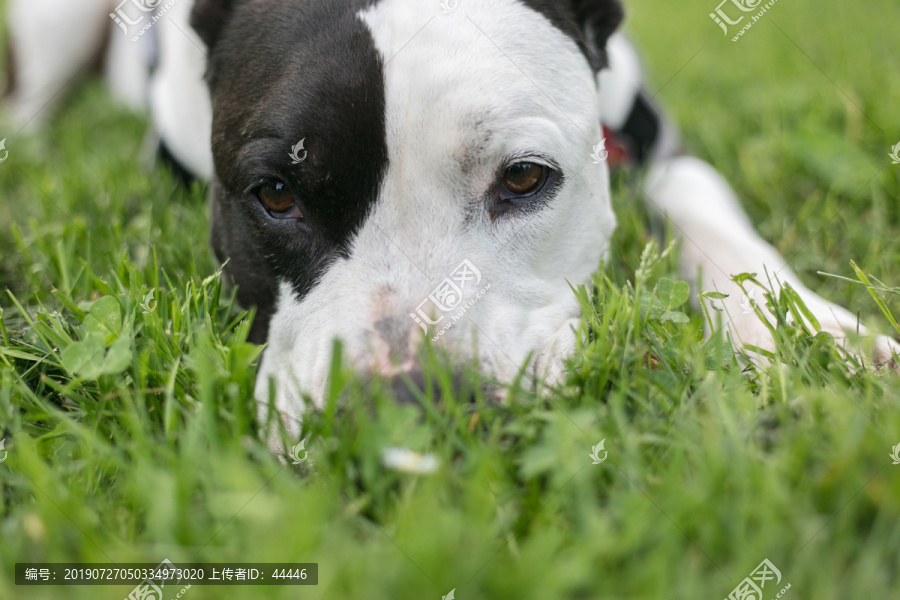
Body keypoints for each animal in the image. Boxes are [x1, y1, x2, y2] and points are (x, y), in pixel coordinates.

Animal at [3, 0, 896, 450]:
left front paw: (814, 334)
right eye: (275, 193)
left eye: (525, 178)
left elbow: (700, 197)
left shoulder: (653, 138)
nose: (407, 406)